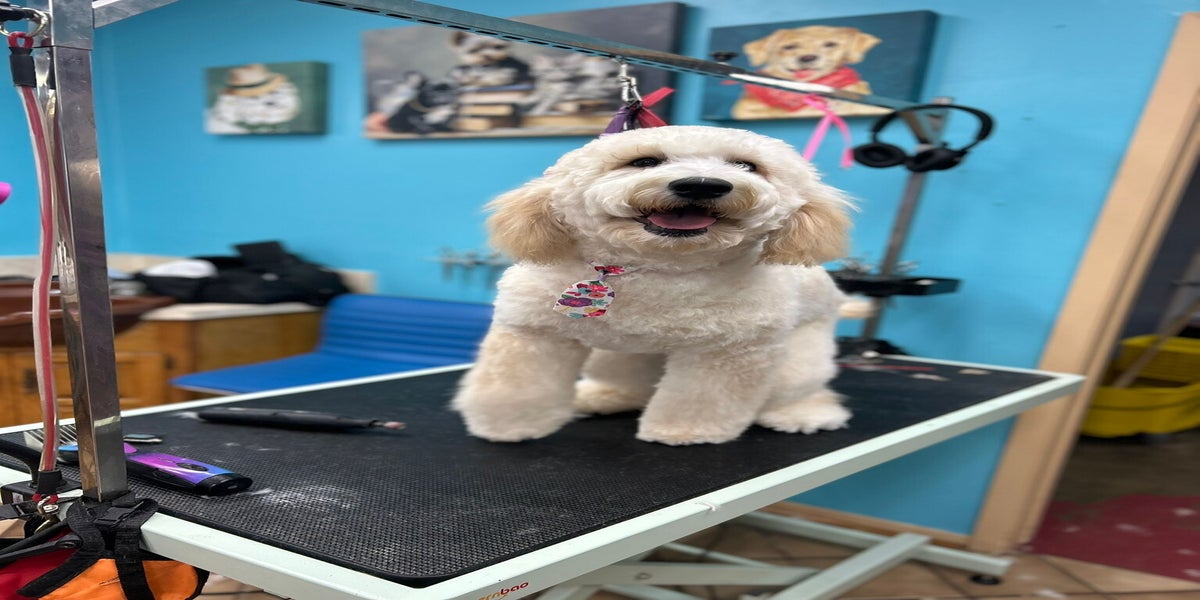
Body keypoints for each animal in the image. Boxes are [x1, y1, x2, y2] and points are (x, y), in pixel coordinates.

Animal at [452, 126, 854, 446]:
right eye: (644, 161)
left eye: (746, 166)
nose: (701, 184)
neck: (652, 266)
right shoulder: (534, 333)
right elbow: (518, 385)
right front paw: (507, 426)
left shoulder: (727, 351)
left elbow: (702, 398)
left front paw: (685, 432)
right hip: (620, 353)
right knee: (627, 379)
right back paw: (603, 396)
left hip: (799, 357)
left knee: (801, 388)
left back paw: (805, 414)